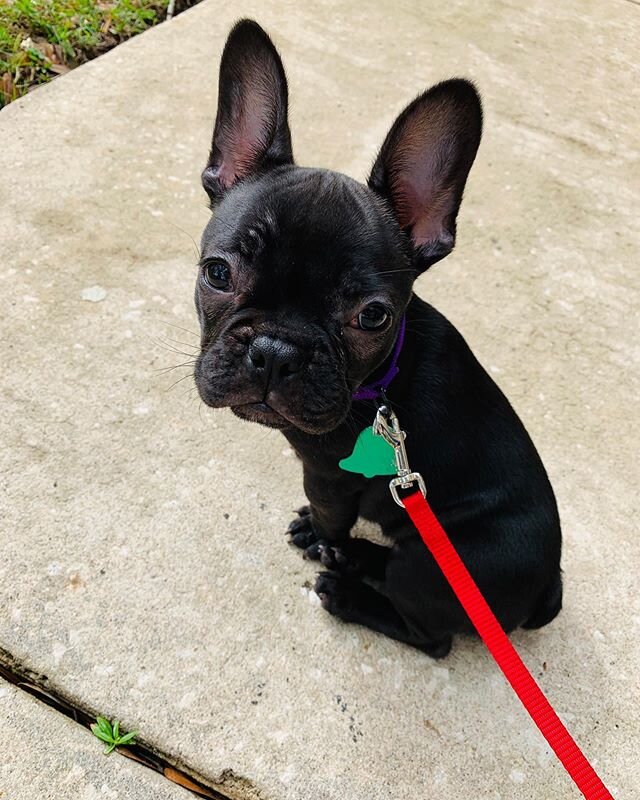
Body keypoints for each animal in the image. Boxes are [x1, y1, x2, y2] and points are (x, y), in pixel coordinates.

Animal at [194, 18, 560, 656]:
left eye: (373, 317)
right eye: (218, 273)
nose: (274, 352)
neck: (380, 387)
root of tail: (548, 587)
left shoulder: (328, 477)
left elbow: (330, 516)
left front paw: (324, 540)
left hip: (432, 566)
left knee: (431, 636)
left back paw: (348, 588)